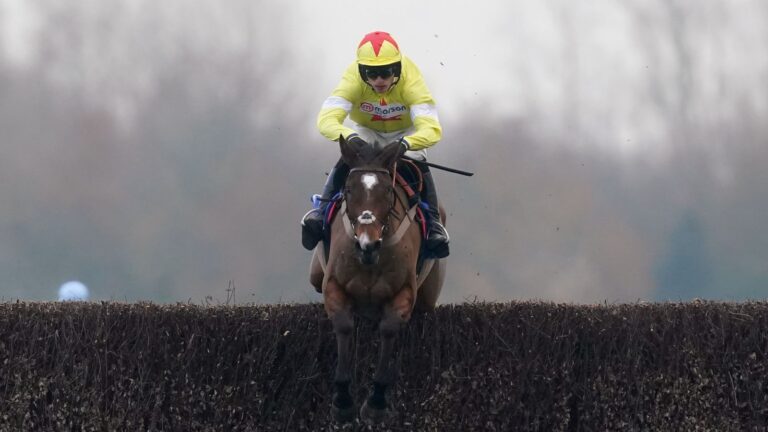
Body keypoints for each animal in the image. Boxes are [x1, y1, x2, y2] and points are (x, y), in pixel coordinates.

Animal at [308, 137, 448, 424]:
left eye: (387, 191)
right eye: (349, 190)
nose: (367, 243)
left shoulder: (404, 292)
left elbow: (389, 329)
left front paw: (376, 402)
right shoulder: (333, 286)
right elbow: (344, 327)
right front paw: (342, 401)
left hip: (428, 296)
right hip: (316, 273)